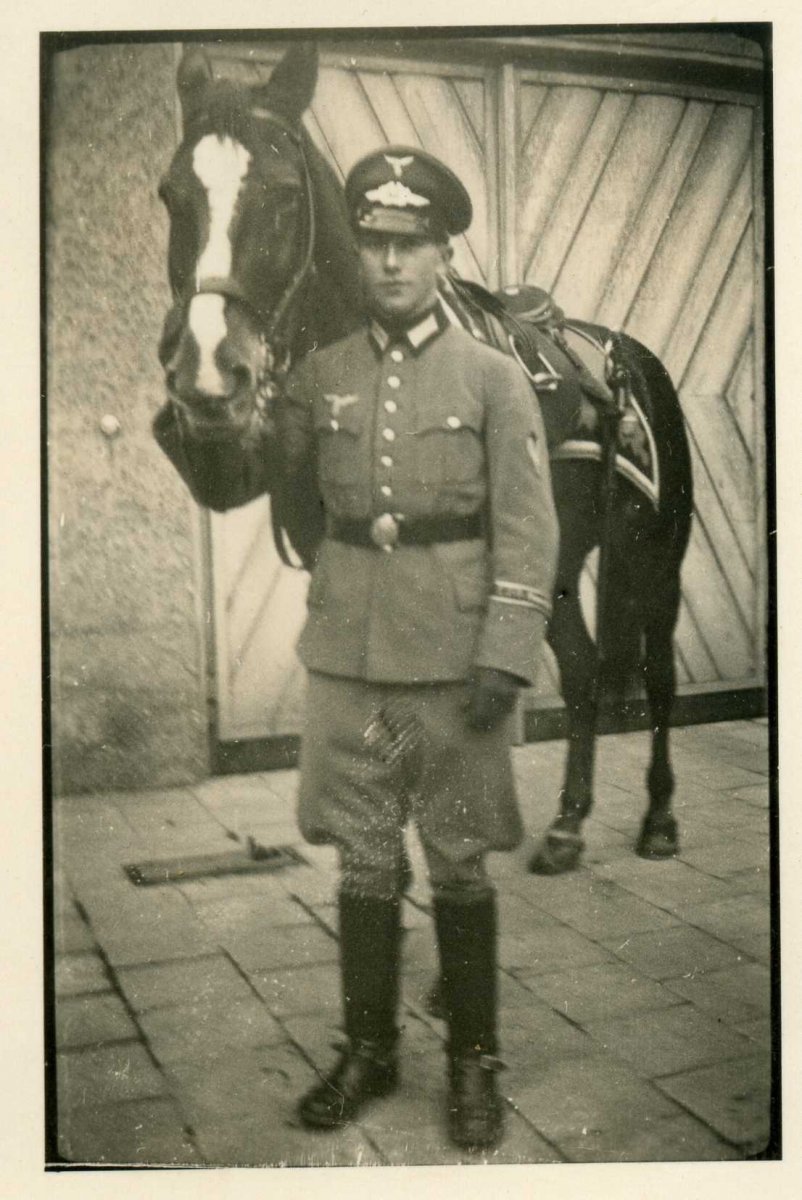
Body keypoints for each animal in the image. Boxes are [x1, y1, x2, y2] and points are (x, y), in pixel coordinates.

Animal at [158, 46, 696, 873]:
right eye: (171, 196)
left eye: (283, 197)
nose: (208, 378)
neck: (387, 342)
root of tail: (631, 356)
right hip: (556, 564)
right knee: (580, 672)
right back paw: (567, 824)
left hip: (653, 557)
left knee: (660, 678)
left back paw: (659, 819)